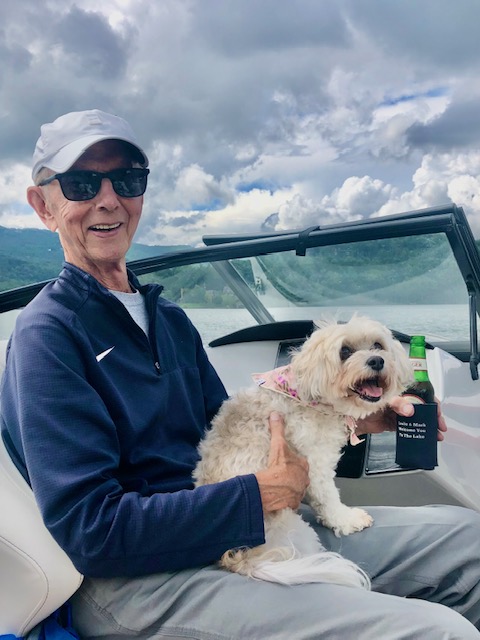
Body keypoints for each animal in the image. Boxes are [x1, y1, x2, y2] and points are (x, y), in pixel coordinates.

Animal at [193, 316, 410, 592]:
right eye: (345, 351)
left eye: (377, 345)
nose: (377, 361)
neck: (306, 395)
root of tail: (236, 556)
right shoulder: (314, 463)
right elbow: (328, 497)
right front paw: (347, 519)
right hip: (295, 535)